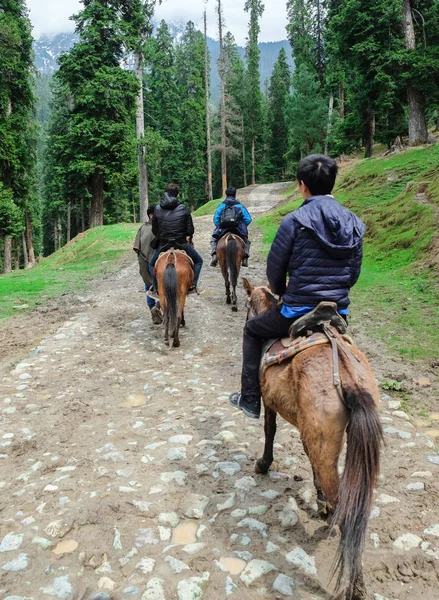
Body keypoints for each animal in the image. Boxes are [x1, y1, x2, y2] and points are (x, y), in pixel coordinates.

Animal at [242, 280, 384, 600]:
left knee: (348, 513)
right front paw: (319, 501)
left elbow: (269, 431)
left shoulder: (270, 404)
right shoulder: (311, 433)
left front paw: (263, 464)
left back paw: (354, 586)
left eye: (246, 306)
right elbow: (311, 462)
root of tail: (348, 377)